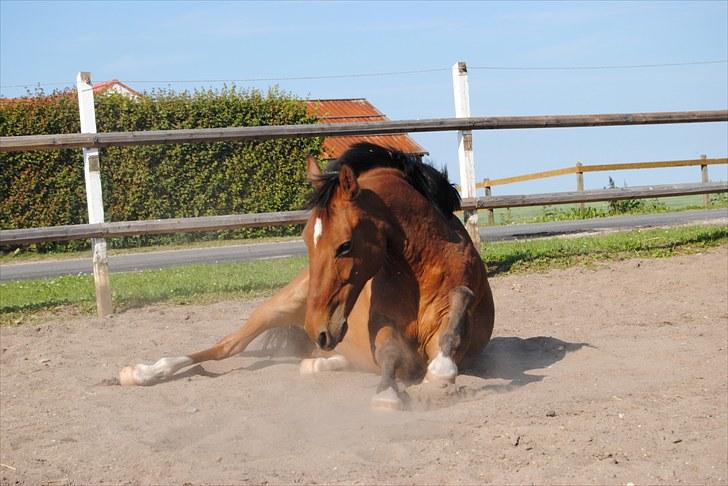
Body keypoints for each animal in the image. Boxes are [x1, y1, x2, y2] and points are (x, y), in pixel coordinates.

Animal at [119, 143, 494, 410]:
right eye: (305, 239)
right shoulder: (383, 325)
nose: (319, 329)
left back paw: (317, 364)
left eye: (344, 245)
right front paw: (387, 394)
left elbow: (455, 320)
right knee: (226, 346)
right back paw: (142, 372)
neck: (419, 269)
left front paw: (439, 373)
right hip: (281, 305)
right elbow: (388, 353)